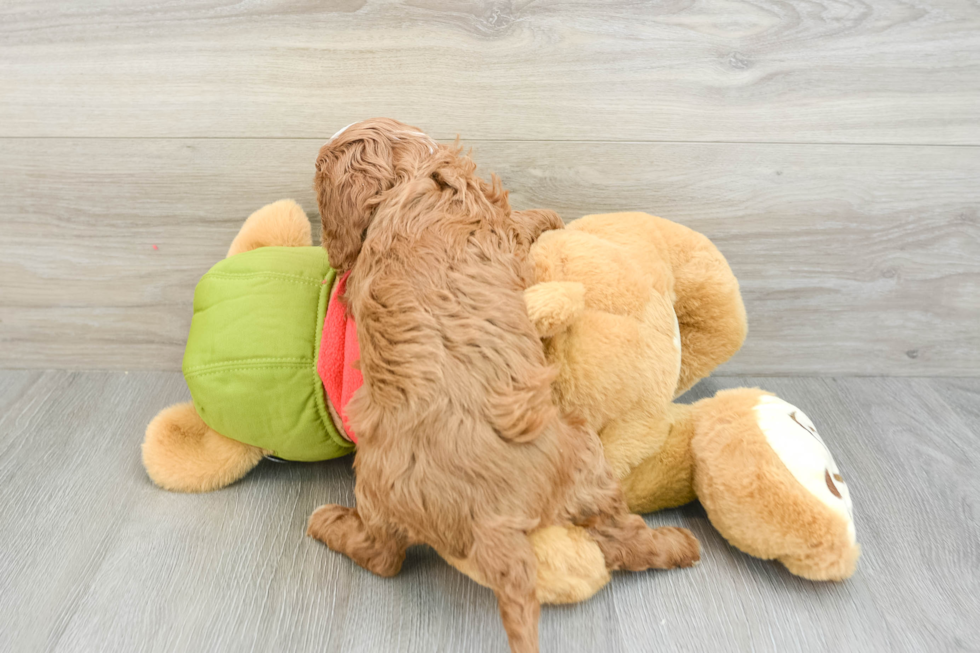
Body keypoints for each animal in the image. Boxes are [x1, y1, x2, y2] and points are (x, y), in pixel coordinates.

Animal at [306, 118, 696, 652]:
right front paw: (550, 216)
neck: (414, 176)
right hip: (586, 457)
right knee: (621, 537)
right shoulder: (500, 223)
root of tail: (490, 521)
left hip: (380, 489)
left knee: (383, 554)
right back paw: (677, 544)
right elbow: (524, 222)